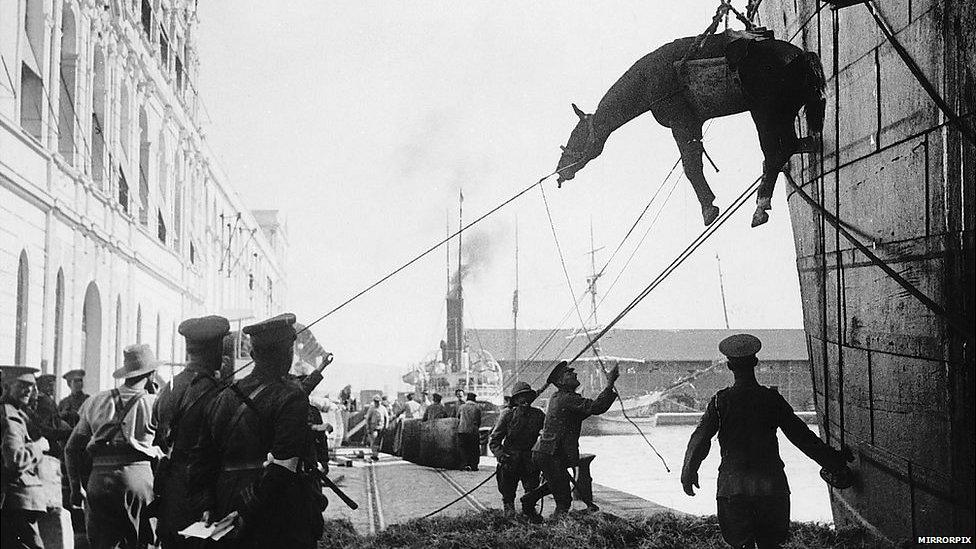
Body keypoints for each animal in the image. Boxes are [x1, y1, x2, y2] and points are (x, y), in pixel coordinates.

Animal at [556, 29, 824, 227]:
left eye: (575, 135)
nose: (560, 171)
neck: (648, 80)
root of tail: (801, 56)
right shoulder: (693, 124)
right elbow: (695, 161)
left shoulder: (681, 123)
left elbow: (691, 165)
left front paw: (709, 209)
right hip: (783, 112)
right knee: (789, 146)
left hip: (765, 113)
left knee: (775, 152)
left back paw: (760, 207)